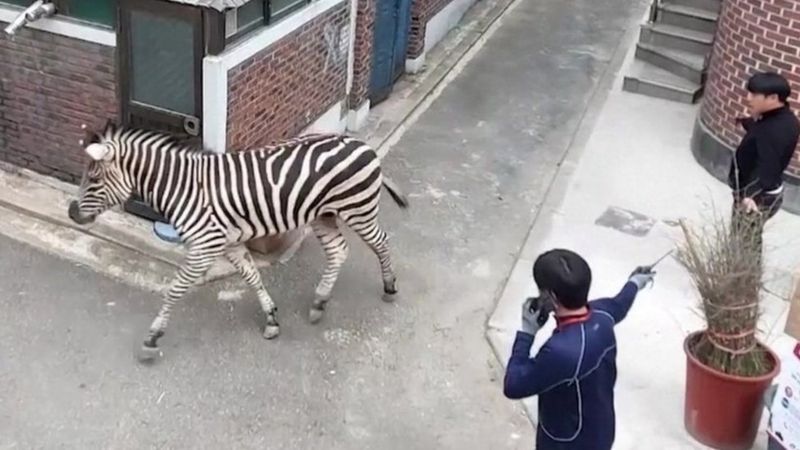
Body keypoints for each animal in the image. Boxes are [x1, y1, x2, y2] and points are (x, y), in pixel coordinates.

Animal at [66, 121, 410, 360]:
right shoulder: (228, 243)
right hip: (323, 215)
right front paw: (271, 319)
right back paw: (319, 302)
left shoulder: (204, 247)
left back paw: (389, 286)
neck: (183, 188)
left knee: (381, 241)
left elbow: (174, 289)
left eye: (93, 178)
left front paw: (152, 337)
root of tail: (359, 142)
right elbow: (252, 276)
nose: (71, 212)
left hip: (358, 209)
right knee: (339, 251)